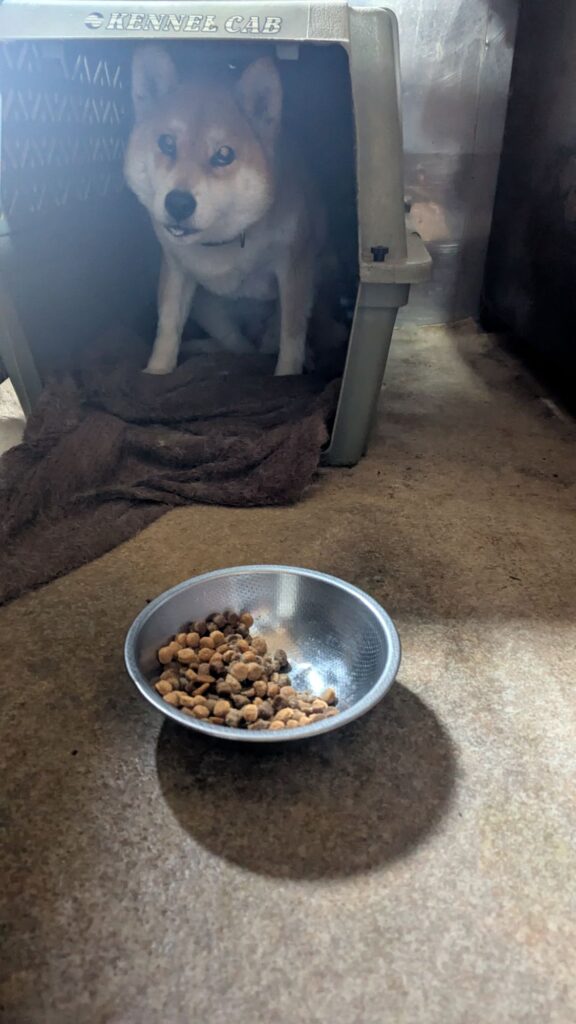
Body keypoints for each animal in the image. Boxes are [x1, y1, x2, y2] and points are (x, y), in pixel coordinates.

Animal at [124, 45, 327, 376]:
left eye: (223, 154)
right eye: (166, 142)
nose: (178, 203)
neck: (224, 242)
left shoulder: (295, 269)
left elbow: (291, 336)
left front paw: (287, 375)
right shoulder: (176, 270)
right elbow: (167, 326)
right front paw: (156, 372)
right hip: (209, 310)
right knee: (239, 347)